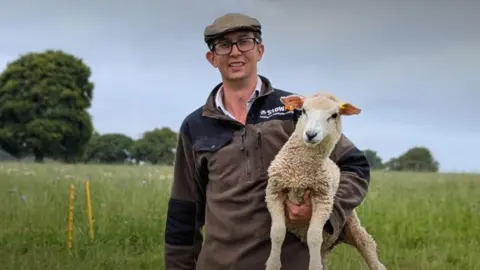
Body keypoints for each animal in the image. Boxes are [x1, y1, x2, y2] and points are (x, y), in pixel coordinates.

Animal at [264, 92, 384, 270]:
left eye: (334, 115)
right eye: (303, 110)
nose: (310, 134)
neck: (300, 172)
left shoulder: (323, 199)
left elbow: (314, 236)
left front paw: (313, 267)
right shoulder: (274, 192)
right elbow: (277, 232)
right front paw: (273, 263)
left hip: (352, 224)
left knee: (368, 245)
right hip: (326, 248)